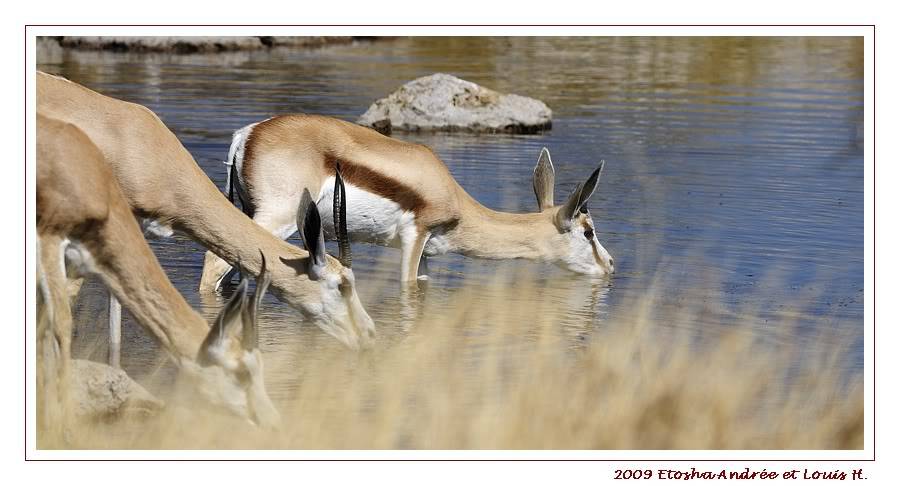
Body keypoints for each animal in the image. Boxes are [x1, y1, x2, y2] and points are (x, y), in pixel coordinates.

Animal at [200, 115, 616, 288]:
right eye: (588, 231)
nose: (610, 265)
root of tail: (247, 135)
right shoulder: (416, 235)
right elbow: (407, 284)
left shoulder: (427, 252)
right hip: (276, 219)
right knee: (212, 264)